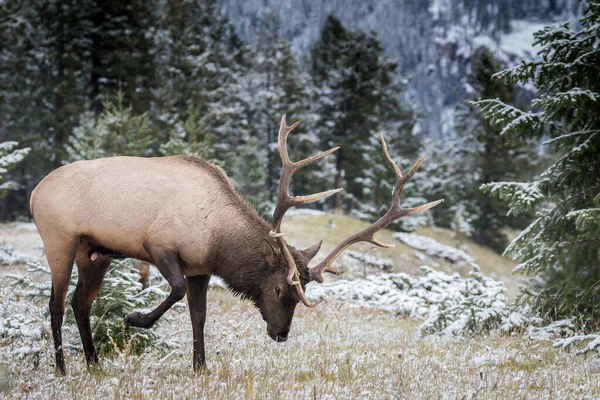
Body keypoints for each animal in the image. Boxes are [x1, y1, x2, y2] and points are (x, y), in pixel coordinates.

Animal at [29, 114, 440, 374]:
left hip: (95, 253)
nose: (281, 334)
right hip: (59, 241)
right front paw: (135, 319)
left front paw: (201, 367)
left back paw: (94, 363)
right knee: (56, 304)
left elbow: (198, 315)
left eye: (302, 294)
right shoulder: (158, 245)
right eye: (279, 289)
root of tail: (34, 192)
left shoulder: (199, 268)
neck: (217, 241)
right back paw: (62, 367)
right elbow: (175, 291)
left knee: (81, 302)